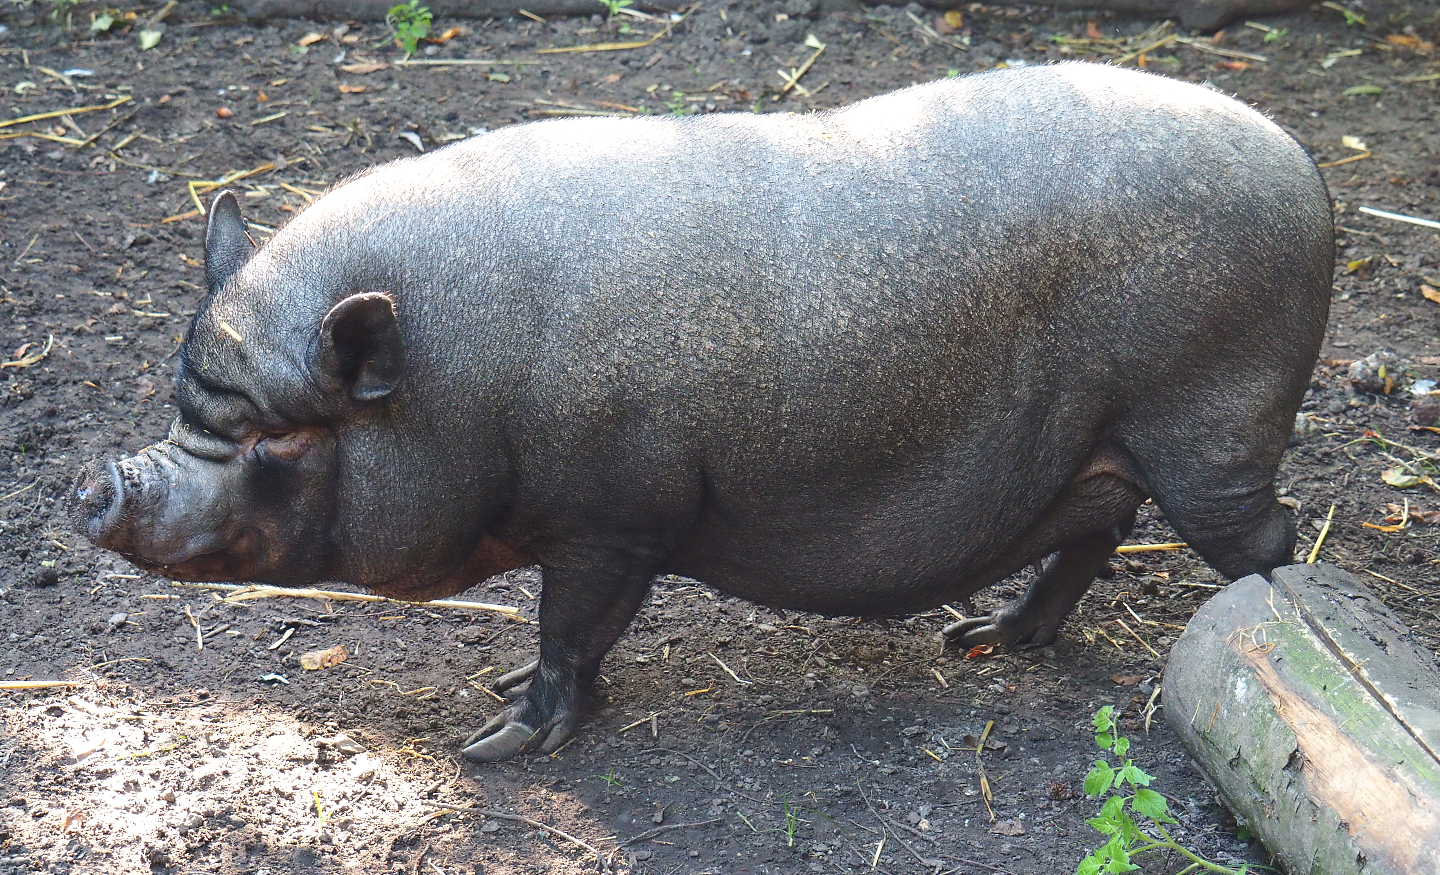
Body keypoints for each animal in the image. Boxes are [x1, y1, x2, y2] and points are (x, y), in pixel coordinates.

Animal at [71, 63, 1333, 762]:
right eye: (183, 404)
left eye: (276, 437)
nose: (97, 481)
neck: (465, 381)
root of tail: (1302, 165)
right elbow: (567, 641)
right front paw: (498, 705)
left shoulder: (614, 518)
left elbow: (570, 632)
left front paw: (494, 744)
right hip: (1108, 447)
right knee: (1095, 528)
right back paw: (979, 638)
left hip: (1215, 428)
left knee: (1262, 544)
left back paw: (1278, 640)